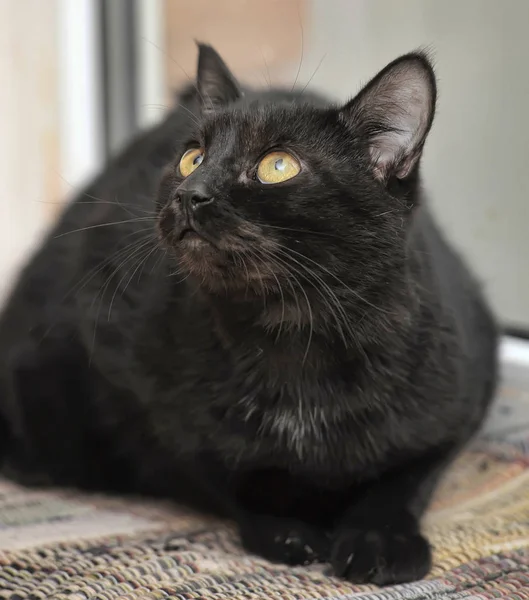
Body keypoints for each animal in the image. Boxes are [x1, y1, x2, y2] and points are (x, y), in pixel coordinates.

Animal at [0, 45, 496, 584]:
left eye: (278, 166)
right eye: (191, 157)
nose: (190, 193)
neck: (294, 339)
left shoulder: (462, 396)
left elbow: (406, 479)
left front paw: (379, 539)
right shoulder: (143, 404)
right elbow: (226, 477)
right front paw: (287, 531)